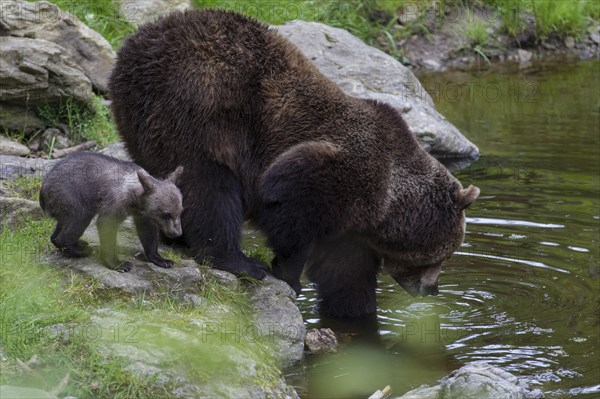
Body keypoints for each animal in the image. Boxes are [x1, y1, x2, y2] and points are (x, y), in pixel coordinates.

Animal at [110, 9, 480, 318]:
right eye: (442, 255)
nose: (432, 289)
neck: (387, 203)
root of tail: (133, 45)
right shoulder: (338, 174)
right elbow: (289, 203)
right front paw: (287, 273)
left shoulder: (353, 225)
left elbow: (346, 274)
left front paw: (355, 312)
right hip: (199, 105)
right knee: (209, 187)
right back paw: (240, 261)